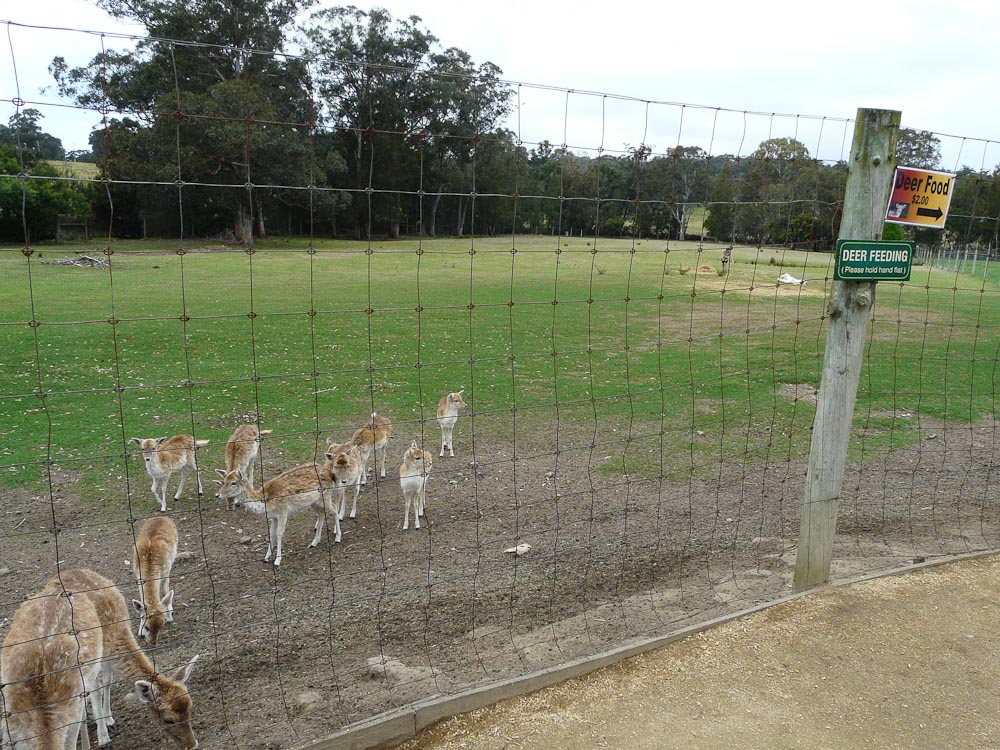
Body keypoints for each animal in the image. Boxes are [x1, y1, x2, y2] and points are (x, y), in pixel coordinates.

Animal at [47, 568, 199, 750]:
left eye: (190, 708)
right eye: (168, 719)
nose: (192, 745)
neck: (112, 633)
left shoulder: (108, 660)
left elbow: (107, 682)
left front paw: (108, 719)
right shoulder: (90, 662)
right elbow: (96, 689)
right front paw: (103, 737)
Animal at [131, 516, 179, 647]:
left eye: (161, 626)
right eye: (146, 626)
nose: (153, 643)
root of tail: (161, 516)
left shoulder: (166, 571)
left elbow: (164, 591)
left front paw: (169, 616)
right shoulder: (137, 575)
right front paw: (139, 632)